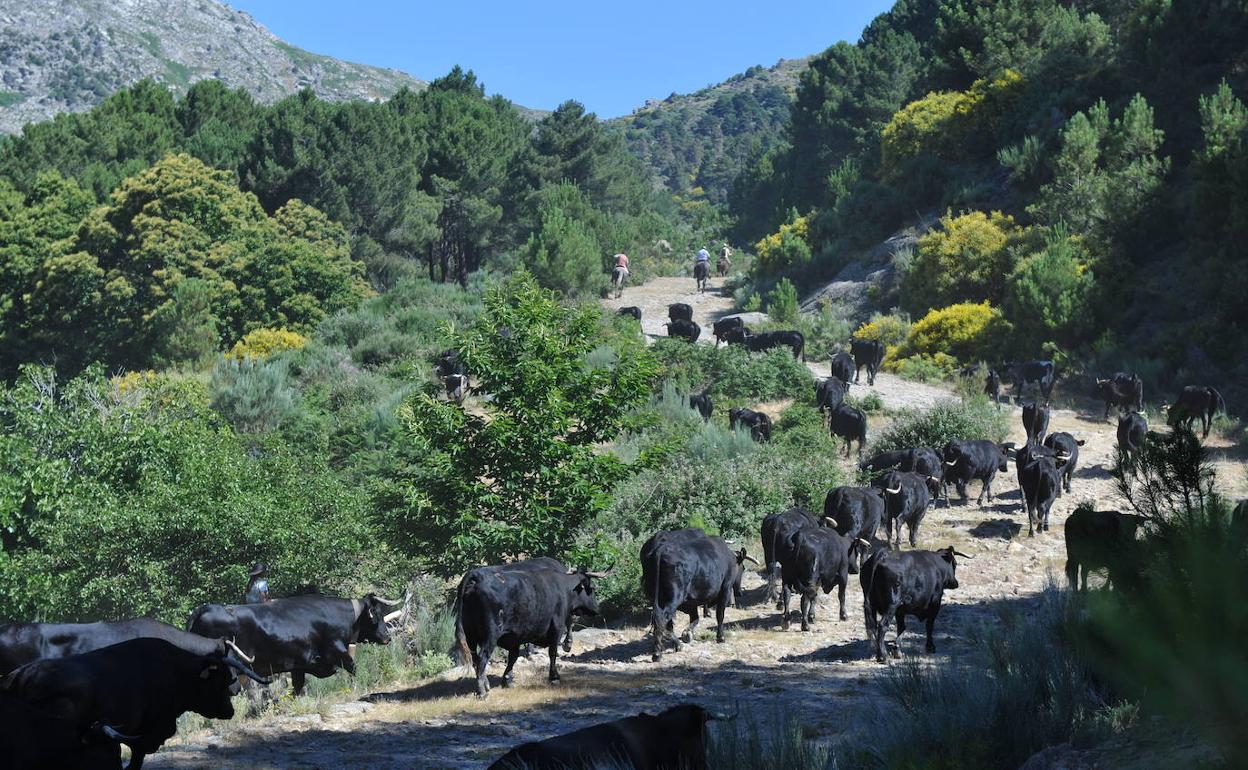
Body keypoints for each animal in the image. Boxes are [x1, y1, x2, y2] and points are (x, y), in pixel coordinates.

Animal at [187, 591, 399, 693]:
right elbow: (354, 669)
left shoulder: (299, 665)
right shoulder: (337, 652)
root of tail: (206, 608)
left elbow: (298, 687)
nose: (387, 637)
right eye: (375, 615)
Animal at [643, 529, 758, 658]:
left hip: (656, 596)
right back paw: (659, 652)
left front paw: (687, 633)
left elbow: (695, 618)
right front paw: (720, 637)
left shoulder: (692, 601)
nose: (739, 592)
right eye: (743, 568)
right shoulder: (725, 589)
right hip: (674, 598)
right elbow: (720, 615)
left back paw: (673, 645)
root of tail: (660, 550)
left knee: (663, 620)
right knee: (663, 618)